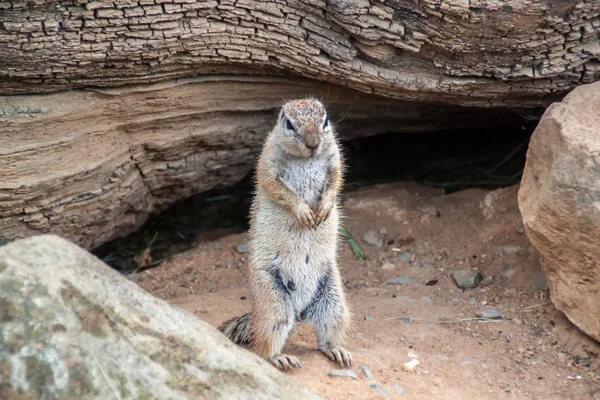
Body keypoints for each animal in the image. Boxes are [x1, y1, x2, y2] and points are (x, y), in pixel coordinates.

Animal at [219, 98, 352, 370]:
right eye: (289, 124)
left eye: (325, 120)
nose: (313, 143)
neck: (305, 160)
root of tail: (300, 310)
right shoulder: (267, 162)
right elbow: (277, 188)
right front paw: (303, 211)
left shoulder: (335, 159)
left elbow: (336, 180)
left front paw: (324, 207)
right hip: (274, 304)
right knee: (264, 346)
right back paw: (280, 357)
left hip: (334, 303)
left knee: (325, 337)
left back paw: (336, 350)